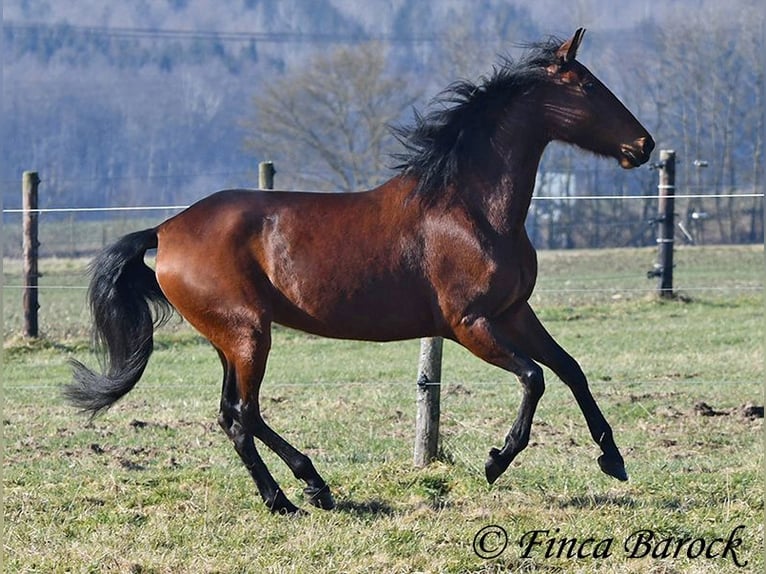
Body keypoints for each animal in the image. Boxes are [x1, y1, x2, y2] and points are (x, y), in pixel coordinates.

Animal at [67, 29, 656, 516]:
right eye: (588, 86)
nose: (644, 145)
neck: (471, 207)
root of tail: (166, 230)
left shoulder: (513, 312)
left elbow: (571, 369)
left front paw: (613, 459)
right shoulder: (469, 325)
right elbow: (535, 377)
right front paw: (496, 460)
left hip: (228, 340)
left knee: (232, 417)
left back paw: (295, 493)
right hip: (248, 334)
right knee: (243, 412)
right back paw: (304, 491)